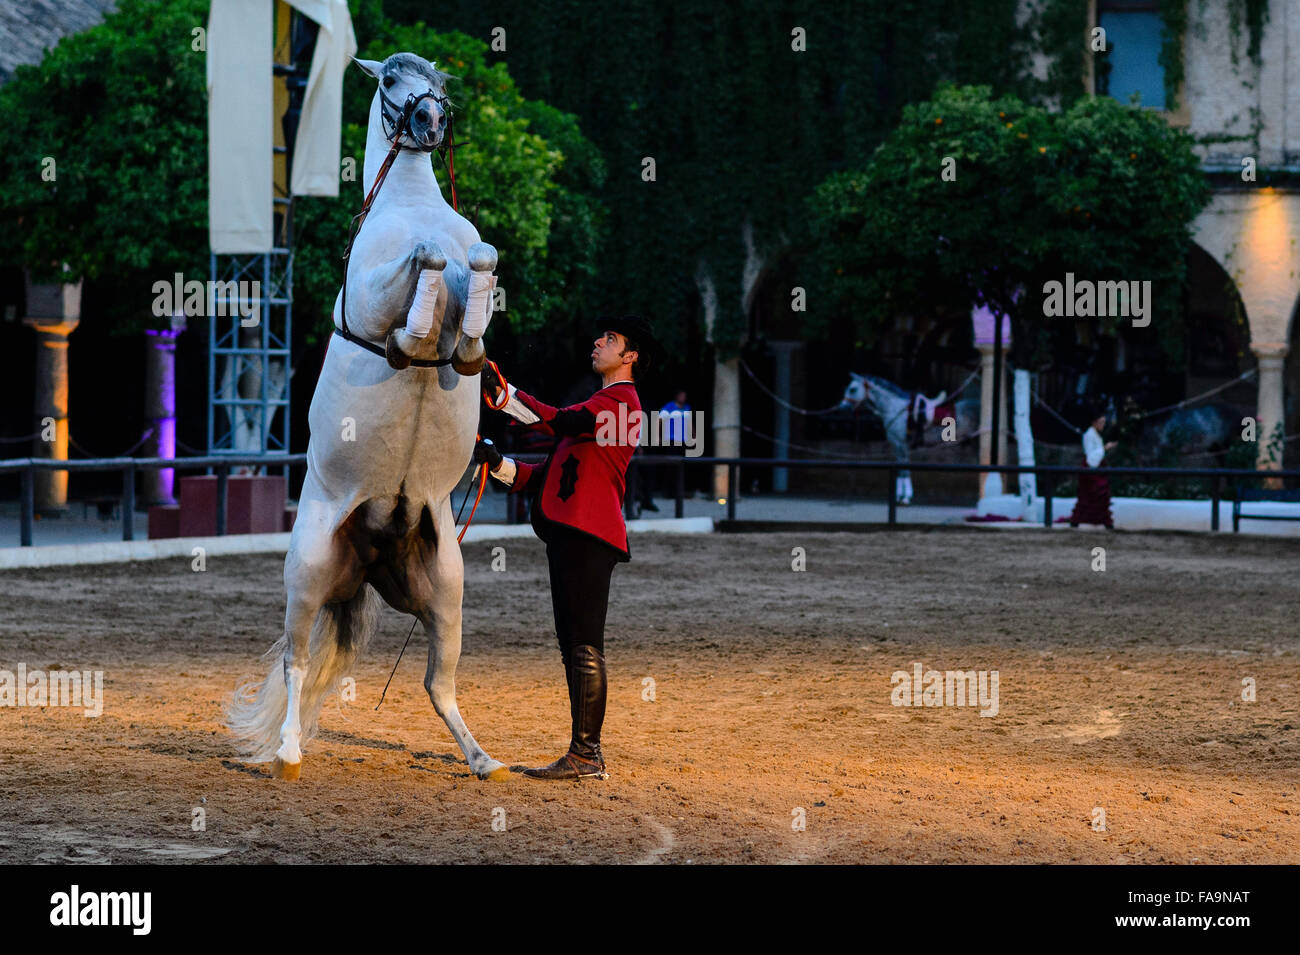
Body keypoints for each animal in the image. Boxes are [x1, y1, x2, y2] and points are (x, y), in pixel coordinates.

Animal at [228, 52, 501, 779]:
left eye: (438, 85)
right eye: (389, 82)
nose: (430, 123)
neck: (413, 203)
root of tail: (374, 550)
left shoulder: (478, 268)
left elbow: (482, 265)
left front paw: (467, 338)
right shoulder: (374, 297)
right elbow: (421, 272)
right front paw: (418, 331)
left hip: (445, 591)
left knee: (438, 684)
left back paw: (482, 757)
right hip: (308, 572)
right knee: (296, 664)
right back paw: (288, 751)